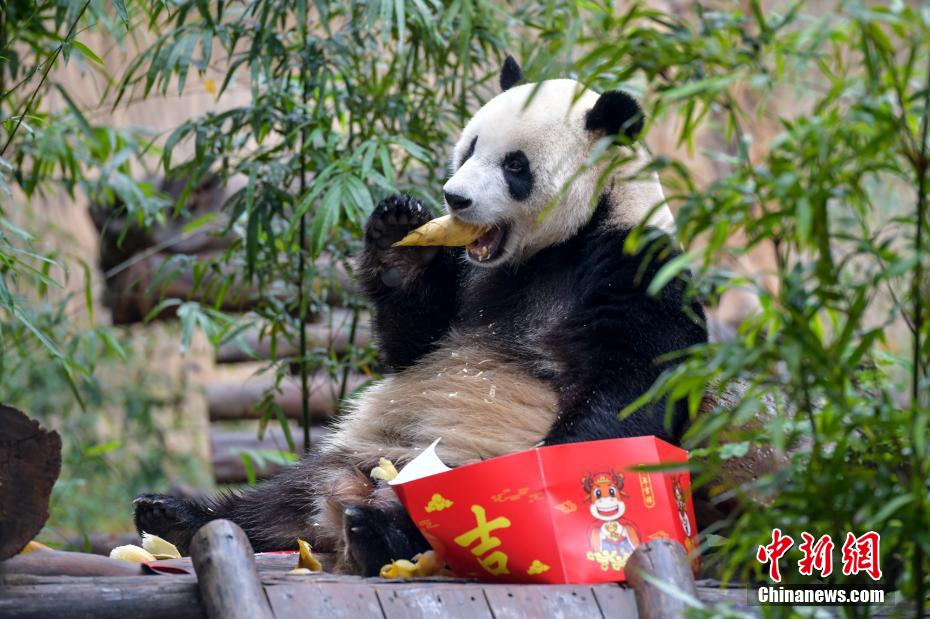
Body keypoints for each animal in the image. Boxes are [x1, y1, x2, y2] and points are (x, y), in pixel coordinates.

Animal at [133, 57, 708, 576]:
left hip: (460, 467)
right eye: (471, 146)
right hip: (358, 450)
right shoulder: (469, 278)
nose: (455, 197)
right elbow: (414, 340)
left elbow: (630, 387)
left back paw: (375, 530)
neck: (556, 245)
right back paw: (178, 517)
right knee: (275, 500)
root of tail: (345, 499)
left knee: (446, 517)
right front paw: (396, 241)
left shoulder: (635, 267)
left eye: (515, 165)